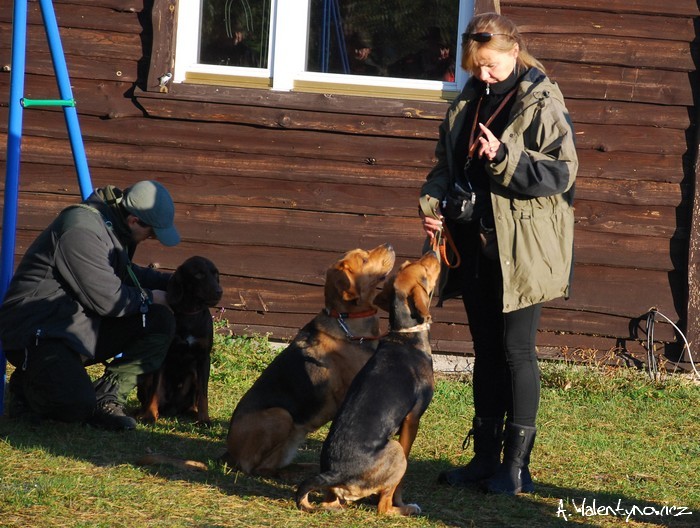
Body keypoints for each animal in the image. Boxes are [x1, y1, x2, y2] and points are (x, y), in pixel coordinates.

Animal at [135, 256, 223, 424]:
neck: (189, 314)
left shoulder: (203, 358)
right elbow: (155, 390)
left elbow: (203, 394)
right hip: (146, 377)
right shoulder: (163, 356)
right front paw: (149, 415)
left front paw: (204, 419)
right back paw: (142, 412)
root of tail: (172, 408)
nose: (219, 292)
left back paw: (193, 412)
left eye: (216, 274)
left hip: (193, 375)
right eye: (199, 274)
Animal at [224, 243, 400, 474]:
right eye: (363, 259)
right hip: (281, 415)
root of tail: (229, 453)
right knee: (254, 467)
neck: (346, 320)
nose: (389, 245)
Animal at [294, 251, 438, 516]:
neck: (405, 335)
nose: (433, 252)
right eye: (424, 272)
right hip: (396, 450)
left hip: (333, 494)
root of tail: (334, 473)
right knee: (383, 507)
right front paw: (401, 501)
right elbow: (398, 485)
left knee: (332, 502)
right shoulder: (412, 420)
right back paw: (404, 510)